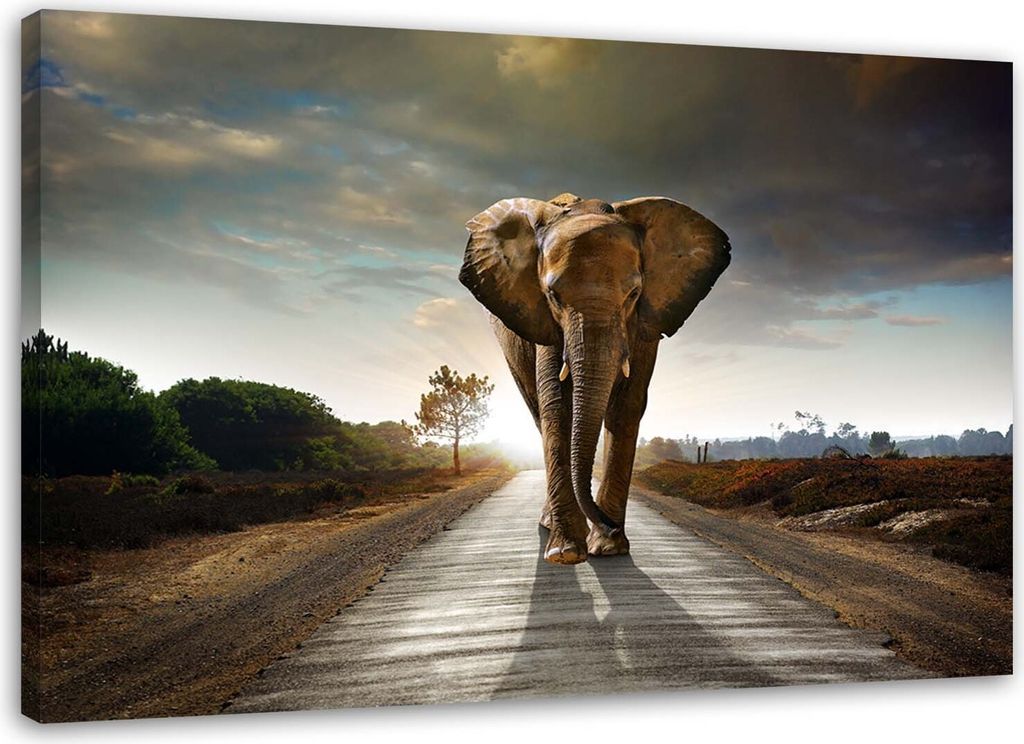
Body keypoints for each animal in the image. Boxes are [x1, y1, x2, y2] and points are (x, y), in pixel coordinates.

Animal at [459, 193, 730, 565]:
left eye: (634, 294)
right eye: (553, 296)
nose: (610, 525)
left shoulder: (645, 322)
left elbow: (627, 405)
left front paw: (609, 548)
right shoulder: (544, 322)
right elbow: (558, 405)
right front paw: (567, 553)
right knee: (538, 412)